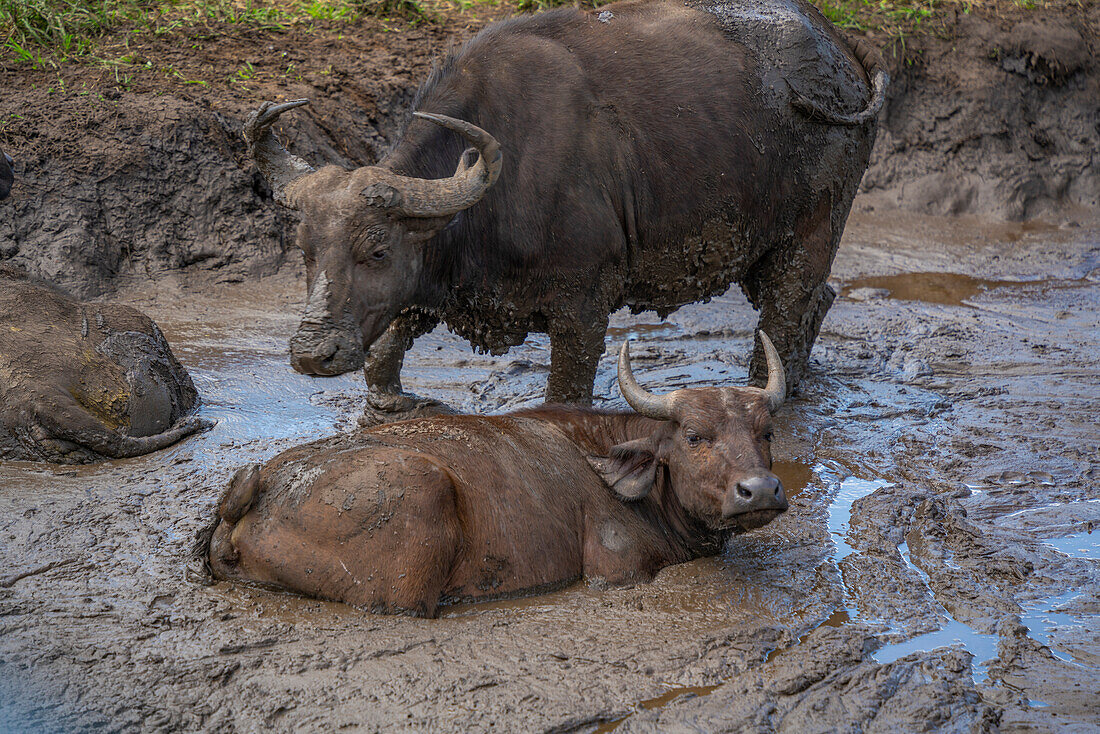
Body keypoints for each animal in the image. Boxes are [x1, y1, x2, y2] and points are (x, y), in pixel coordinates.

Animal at [206, 332, 792, 616]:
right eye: (693, 436)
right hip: (416, 518)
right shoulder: (616, 570)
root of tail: (261, 488)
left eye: (766, 432)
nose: (759, 490)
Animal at [245, 0, 888, 413]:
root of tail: (842, 45)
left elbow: (566, 394)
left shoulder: (584, 302)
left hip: (811, 229)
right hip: (761, 247)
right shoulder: (428, 287)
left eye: (376, 251)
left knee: (785, 310)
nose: (313, 353)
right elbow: (385, 353)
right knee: (817, 299)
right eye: (305, 250)